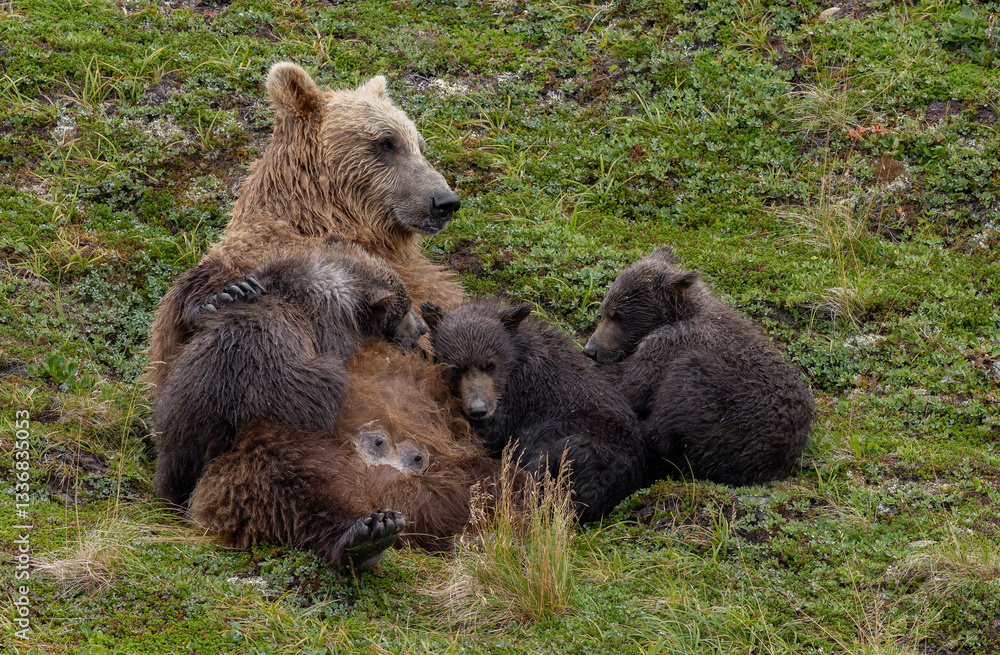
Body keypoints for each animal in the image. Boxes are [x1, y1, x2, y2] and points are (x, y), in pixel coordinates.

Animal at [419, 299, 648, 523]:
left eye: (490, 365)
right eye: (456, 367)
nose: (478, 409)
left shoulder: (519, 398)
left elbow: (492, 434)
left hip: (593, 449)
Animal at [583, 246, 814, 486]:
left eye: (617, 316)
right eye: (604, 310)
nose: (591, 350)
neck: (676, 316)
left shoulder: (670, 344)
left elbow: (631, 383)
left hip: (723, 409)